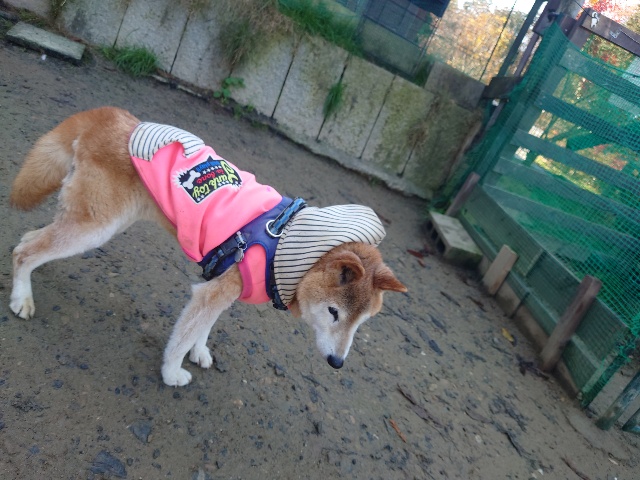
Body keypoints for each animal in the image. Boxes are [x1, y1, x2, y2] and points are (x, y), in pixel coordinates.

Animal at [8, 107, 407, 386]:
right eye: (334, 313)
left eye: (362, 323)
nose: (337, 363)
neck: (287, 244)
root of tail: (110, 116)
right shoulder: (211, 292)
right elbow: (181, 338)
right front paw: (172, 373)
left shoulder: (222, 287)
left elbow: (203, 329)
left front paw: (198, 352)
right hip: (97, 227)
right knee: (24, 249)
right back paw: (21, 298)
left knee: (29, 239)